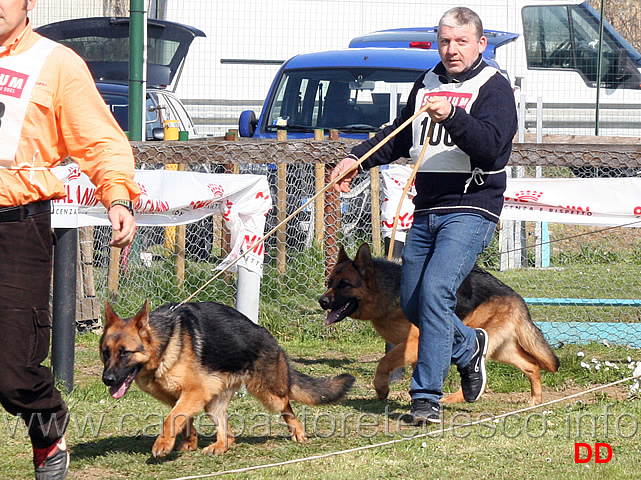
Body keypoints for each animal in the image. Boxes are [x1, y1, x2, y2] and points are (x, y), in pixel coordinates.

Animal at [100, 302, 356, 456]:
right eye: (106, 352)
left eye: (125, 352)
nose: (107, 379)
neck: (164, 344)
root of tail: (268, 336)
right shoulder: (184, 397)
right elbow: (182, 418)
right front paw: (189, 443)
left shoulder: (194, 392)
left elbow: (171, 418)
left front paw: (163, 443)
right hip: (213, 403)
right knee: (229, 433)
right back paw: (220, 446)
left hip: (269, 394)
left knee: (287, 405)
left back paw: (299, 433)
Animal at [318, 244, 556, 404]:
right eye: (329, 283)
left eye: (345, 285)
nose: (322, 302)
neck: (386, 291)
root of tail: (516, 297)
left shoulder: (414, 343)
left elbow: (384, 362)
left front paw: (382, 388)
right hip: (502, 350)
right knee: (531, 365)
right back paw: (535, 399)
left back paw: (456, 398)